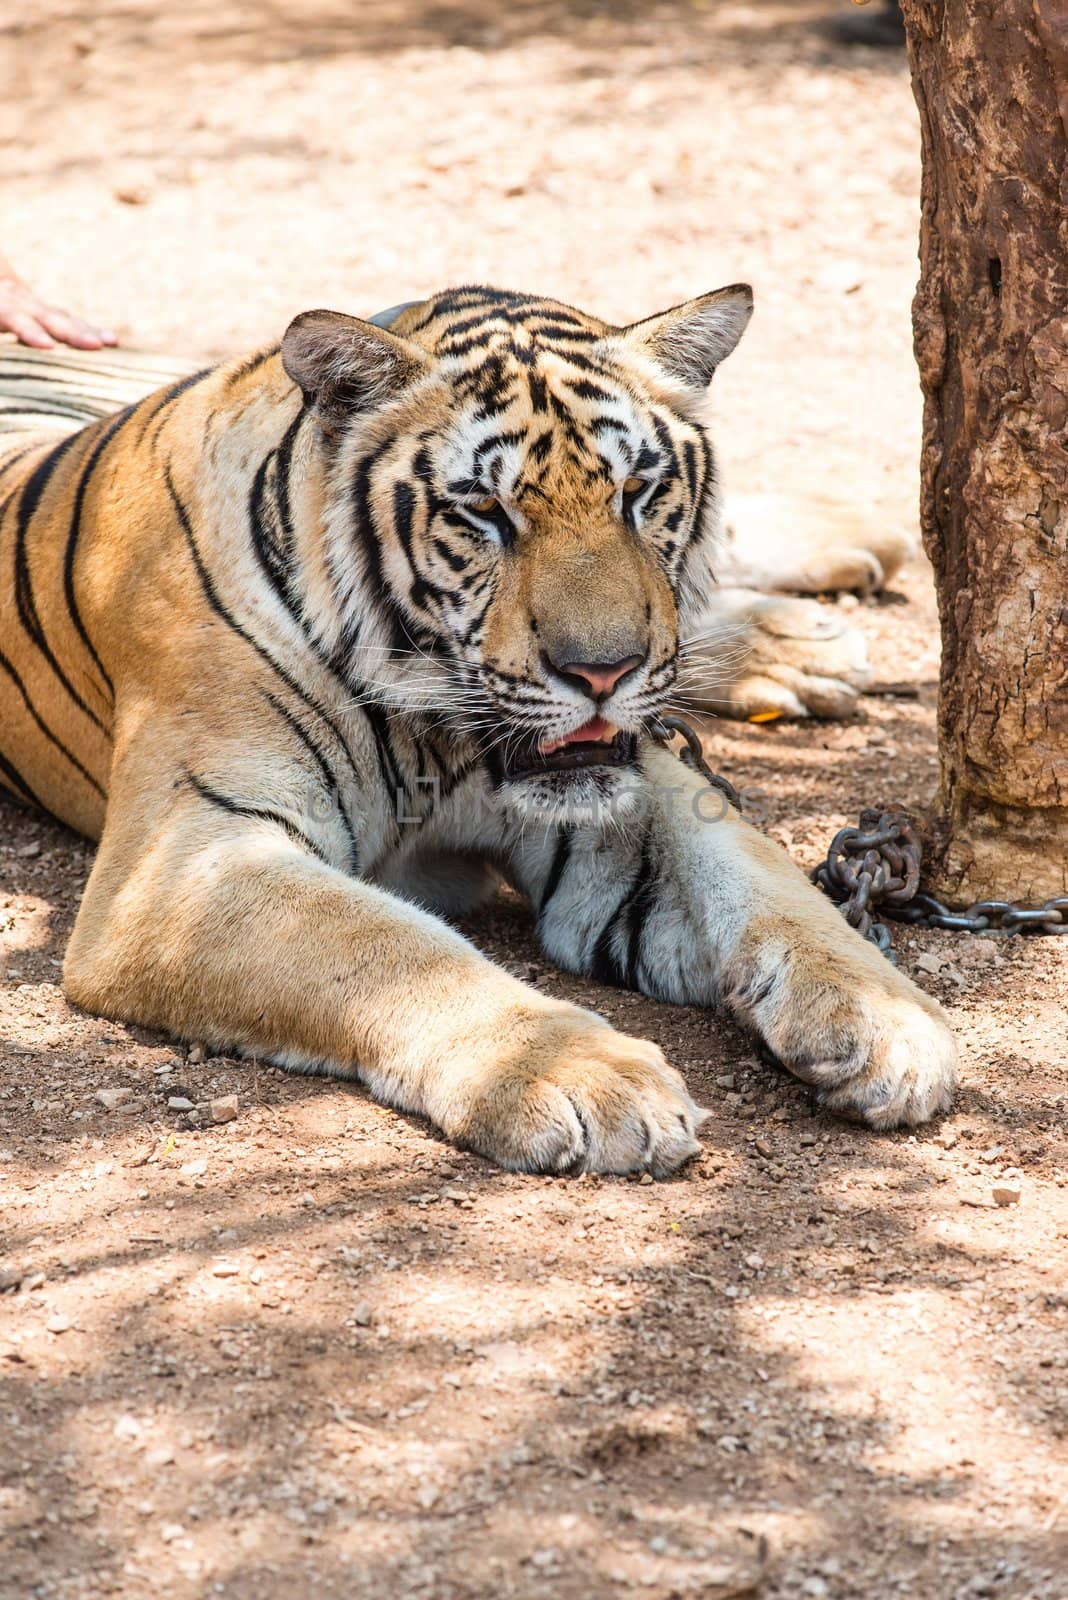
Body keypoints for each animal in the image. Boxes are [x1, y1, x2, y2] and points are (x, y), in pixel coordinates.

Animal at [0, 284, 952, 1177]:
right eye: (484, 513)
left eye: (636, 495)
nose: (604, 672)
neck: (429, 719)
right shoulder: (183, 865)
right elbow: (389, 946)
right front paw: (582, 1078)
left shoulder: (620, 807)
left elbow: (761, 875)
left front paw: (888, 1016)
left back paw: (837, 577)